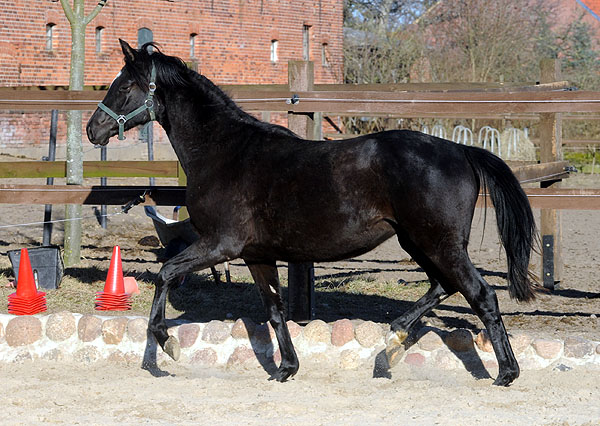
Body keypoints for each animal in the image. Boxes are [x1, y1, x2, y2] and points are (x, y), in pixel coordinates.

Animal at [85, 41, 540, 388]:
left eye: (125, 85)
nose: (93, 130)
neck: (224, 152)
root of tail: (461, 149)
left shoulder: (220, 245)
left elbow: (165, 274)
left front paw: (165, 345)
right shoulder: (257, 255)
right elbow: (273, 310)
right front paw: (286, 368)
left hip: (438, 242)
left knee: (480, 293)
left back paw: (506, 373)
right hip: (419, 241)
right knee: (443, 286)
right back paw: (388, 349)